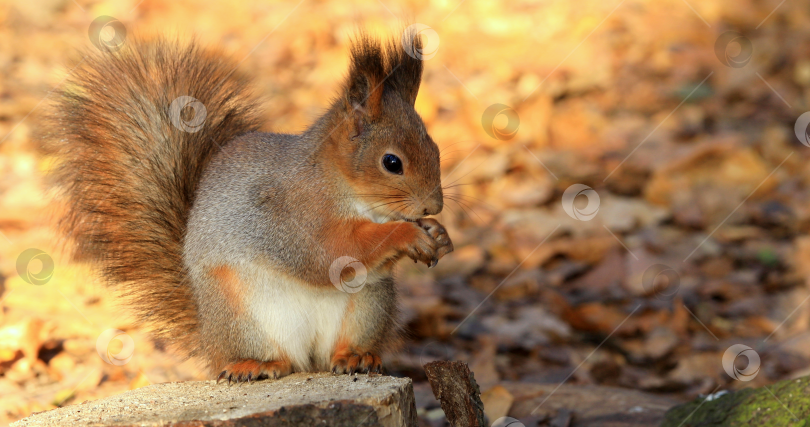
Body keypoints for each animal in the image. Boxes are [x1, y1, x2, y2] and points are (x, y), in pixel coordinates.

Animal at [45, 30, 454, 384]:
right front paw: (407, 234)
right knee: (270, 356)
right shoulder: (296, 217)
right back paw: (255, 365)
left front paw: (439, 235)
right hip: (242, 314)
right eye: (392, 162)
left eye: (435, 148)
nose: (433, 206)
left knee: (341, 347)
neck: (341, 186)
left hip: (368, 305)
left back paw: (354, 356)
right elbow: (334, 252)